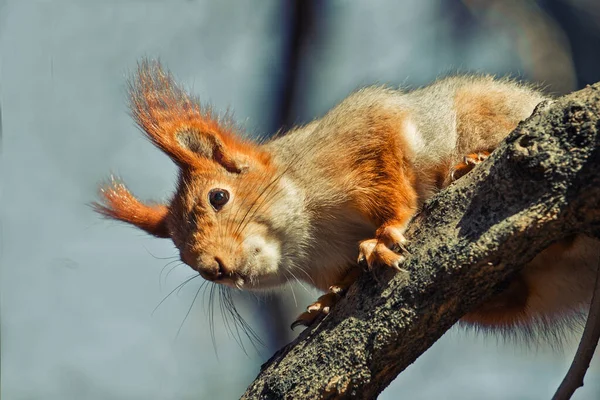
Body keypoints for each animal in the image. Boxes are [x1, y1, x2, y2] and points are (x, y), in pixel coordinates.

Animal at [95, 59, 600, 334]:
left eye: (218, 197)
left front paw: (383, 235)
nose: (212, 269)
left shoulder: (365, 135)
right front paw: (327, 299)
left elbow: (389, 183)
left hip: (487, 112)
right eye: (182, 257)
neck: (312, 238)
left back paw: (469, 163)